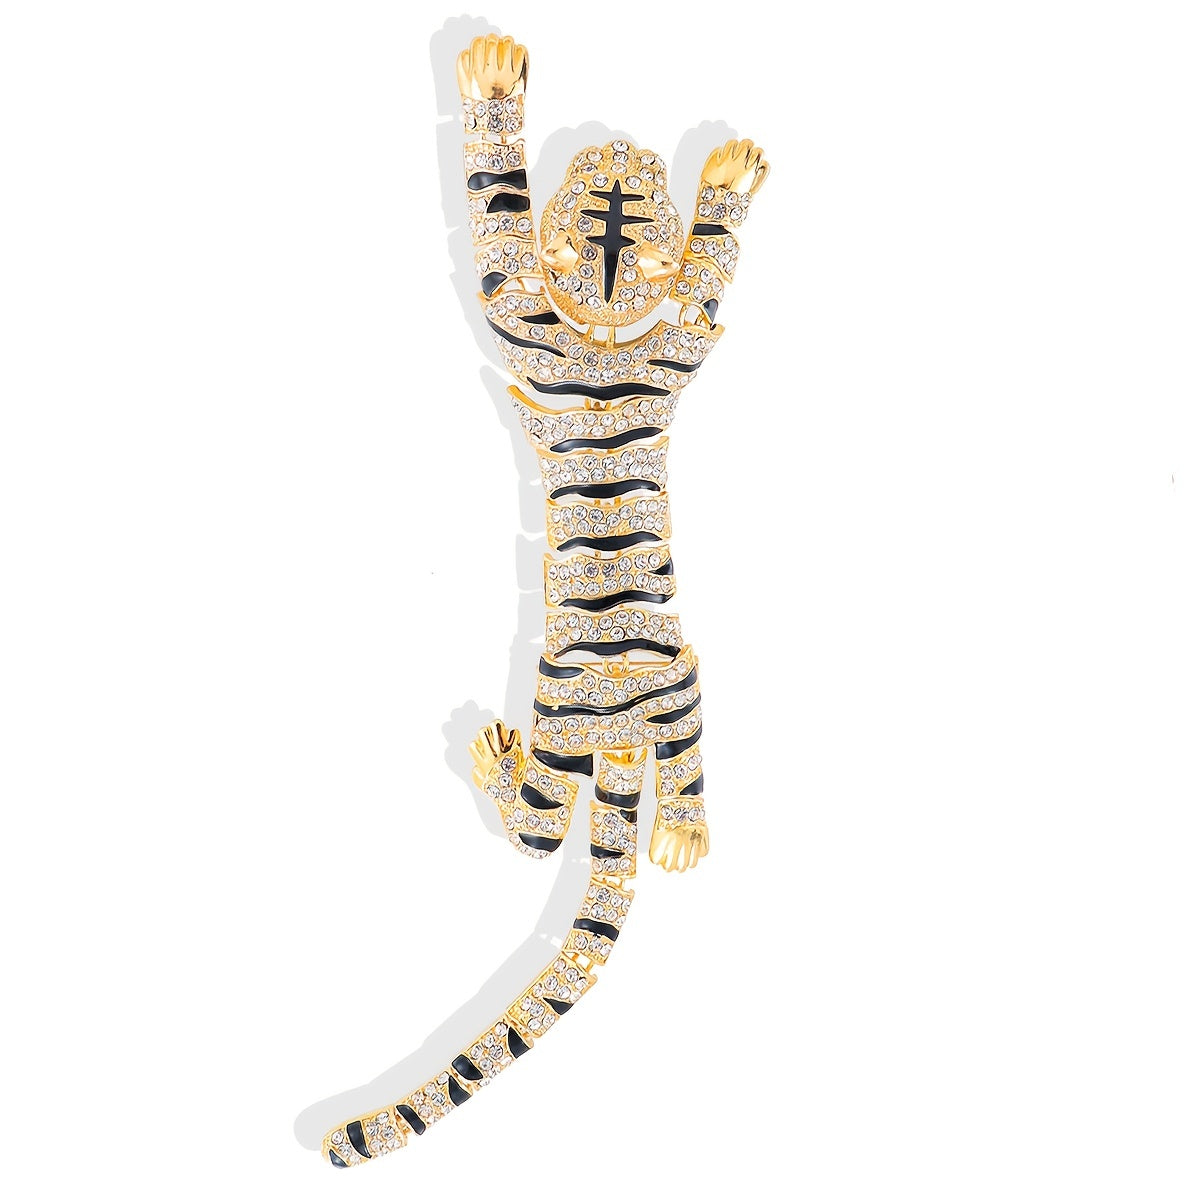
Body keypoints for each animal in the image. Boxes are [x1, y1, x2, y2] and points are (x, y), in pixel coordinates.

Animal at [320, 33, 767, 1167]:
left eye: (631, 186)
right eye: (602, 190)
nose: (617, 144)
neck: (606, 341)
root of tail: (618, 736)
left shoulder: (570, 327)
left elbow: (506, 244)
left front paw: (491, 75)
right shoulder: (637, 347)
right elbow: (687, 288)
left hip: (578, 711)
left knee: (538, 831)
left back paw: (526, 772)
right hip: (645, 695)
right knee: (666, 771)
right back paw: (669, 831)